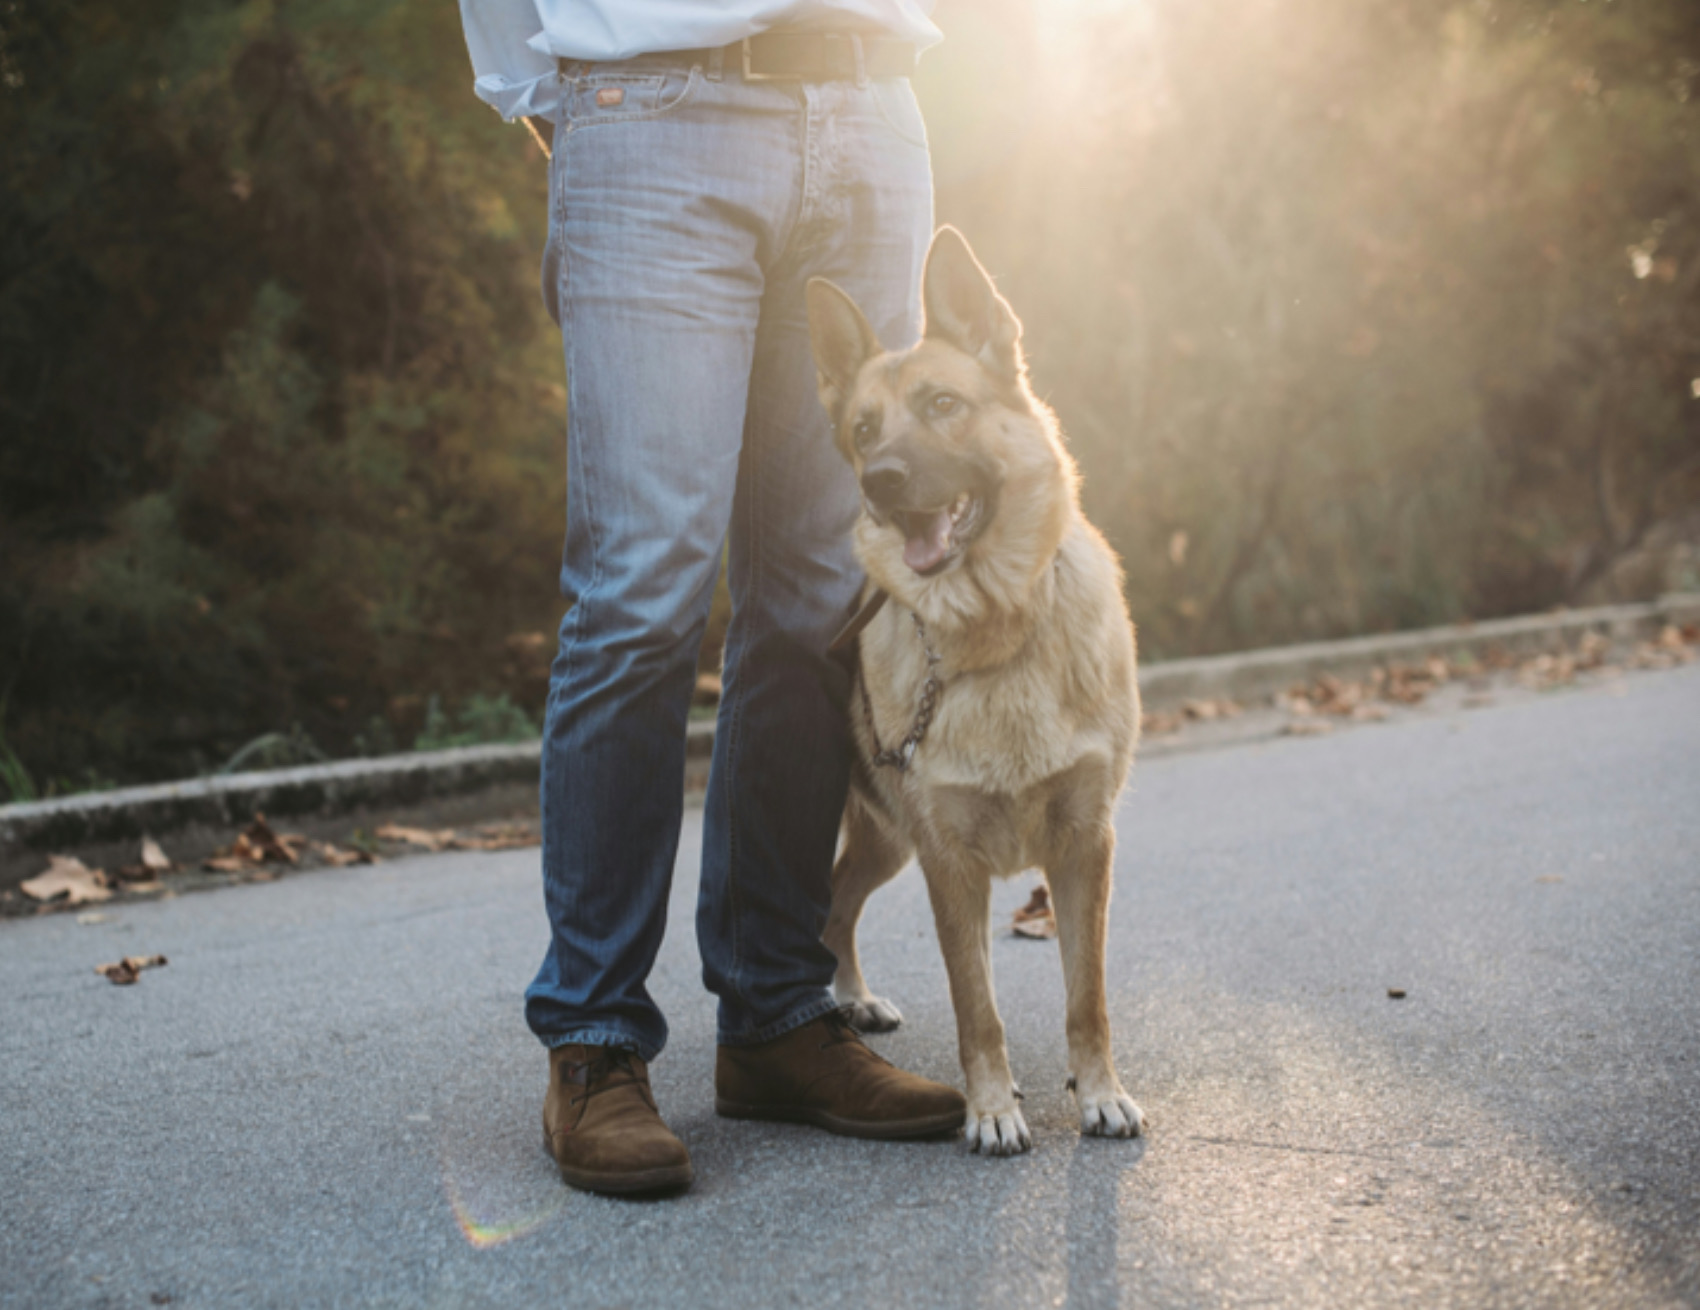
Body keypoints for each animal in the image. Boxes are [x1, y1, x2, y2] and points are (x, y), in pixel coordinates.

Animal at [805, 227, 1142, 1155]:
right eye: (863, 428)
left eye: (944, 405)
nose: (880, 480)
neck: (997, 630)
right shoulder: (949, 864)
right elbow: (976, 1006)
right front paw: (990, 1107)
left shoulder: (1084, 848)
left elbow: (1087, 997)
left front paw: (1100, 1092)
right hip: (885, 838)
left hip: (887, 844)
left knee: (836, 907)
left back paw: (850, 997)